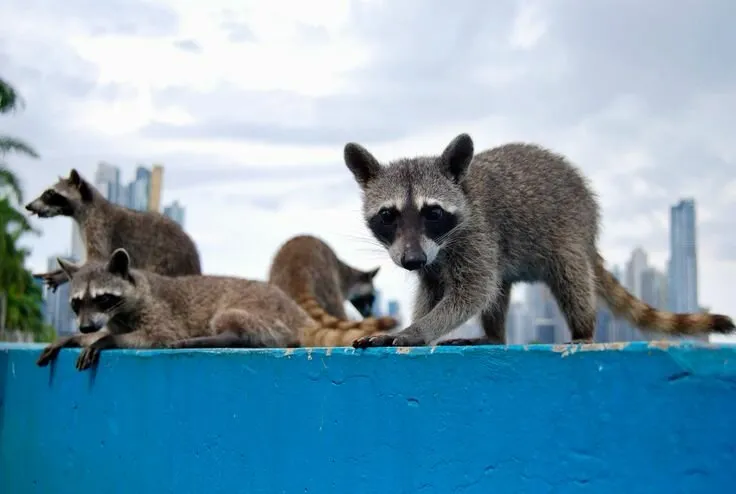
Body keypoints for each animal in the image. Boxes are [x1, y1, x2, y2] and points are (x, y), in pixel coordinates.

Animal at [25, 169, 201, 291]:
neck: (87, 208)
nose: (28, 206)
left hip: (166, 263)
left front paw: (63, 274)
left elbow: (97, 259)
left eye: (49, 193)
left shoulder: (99, 228)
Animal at [35, 248, 386, 371]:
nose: (85, 327)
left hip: (263, 313)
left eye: (103, 298)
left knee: (232, 323)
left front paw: (103, 341)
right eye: (76, 302)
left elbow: (158, 336)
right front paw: (73, 338)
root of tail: (296, 313)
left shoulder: (159, 312)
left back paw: (219, 337)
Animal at [268, 234, 398, 332]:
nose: (369, 313)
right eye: (371, 297)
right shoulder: (341, 282)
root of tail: (298, 268)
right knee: (336, 307)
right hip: (327, 281)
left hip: (278, 285)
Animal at [343, 133, 735, 347]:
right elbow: (433, 292)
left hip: (569, 231)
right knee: (500, 289)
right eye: (388, 215)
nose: (411, 261)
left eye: (433, 213)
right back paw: (494, 335)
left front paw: (418, 330)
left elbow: (472, 292)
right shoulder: (431, 259)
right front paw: (417, 322)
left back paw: (583, 330)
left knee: (571, 279)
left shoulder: (476, 235)